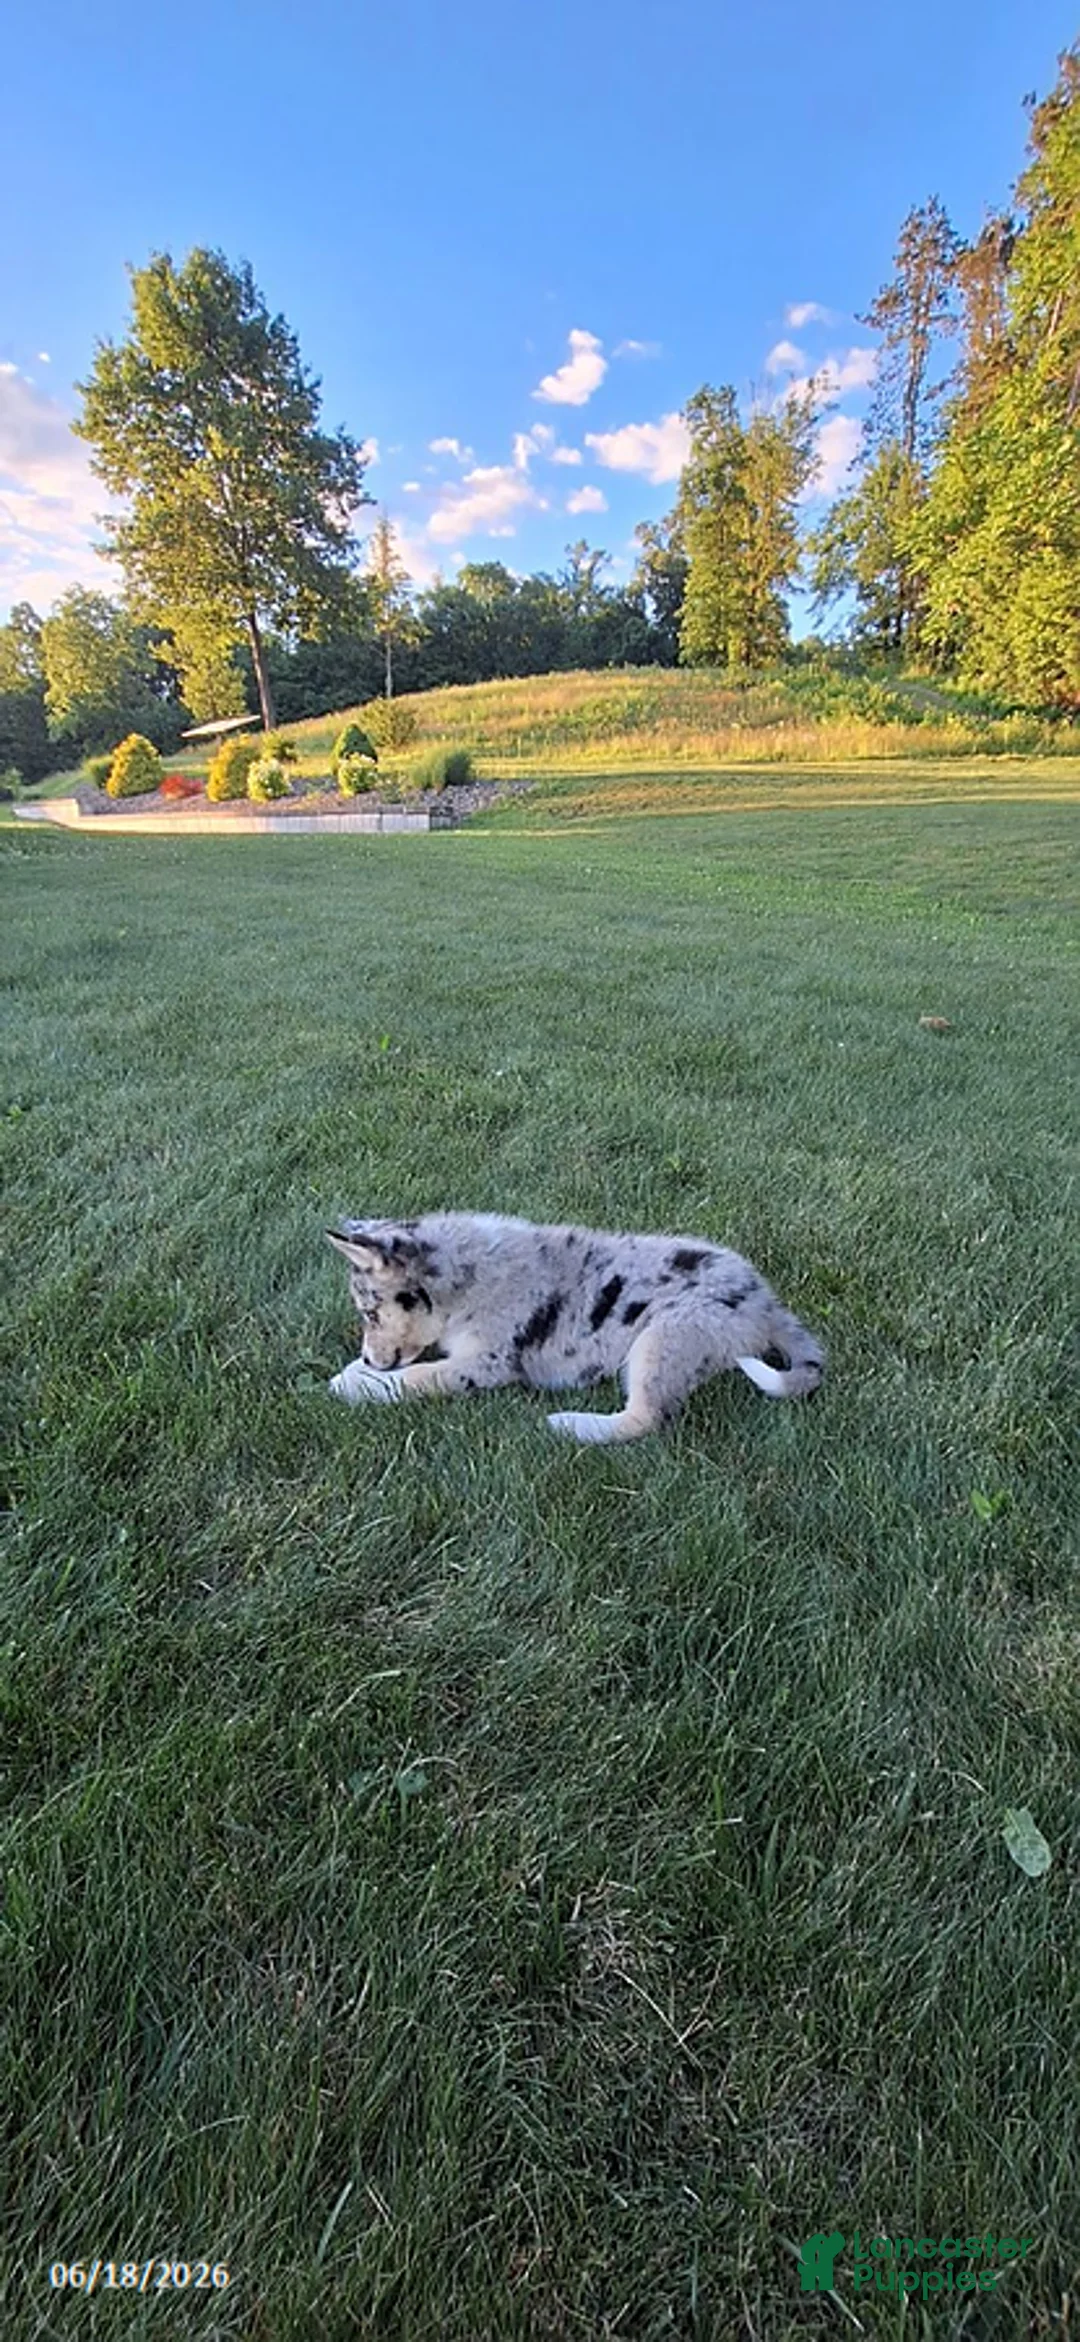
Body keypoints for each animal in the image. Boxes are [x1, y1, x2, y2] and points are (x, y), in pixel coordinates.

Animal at [327, 1212, 824, 1445]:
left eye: (370, 1313)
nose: (370, 1356)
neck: (461, 1277)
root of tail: (764, 1301)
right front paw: (358, 1370)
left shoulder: (486, 1362)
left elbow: (416, 1376)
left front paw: (356, 1382)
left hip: (667, 1335)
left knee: (646, 1418)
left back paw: (569, 1425)